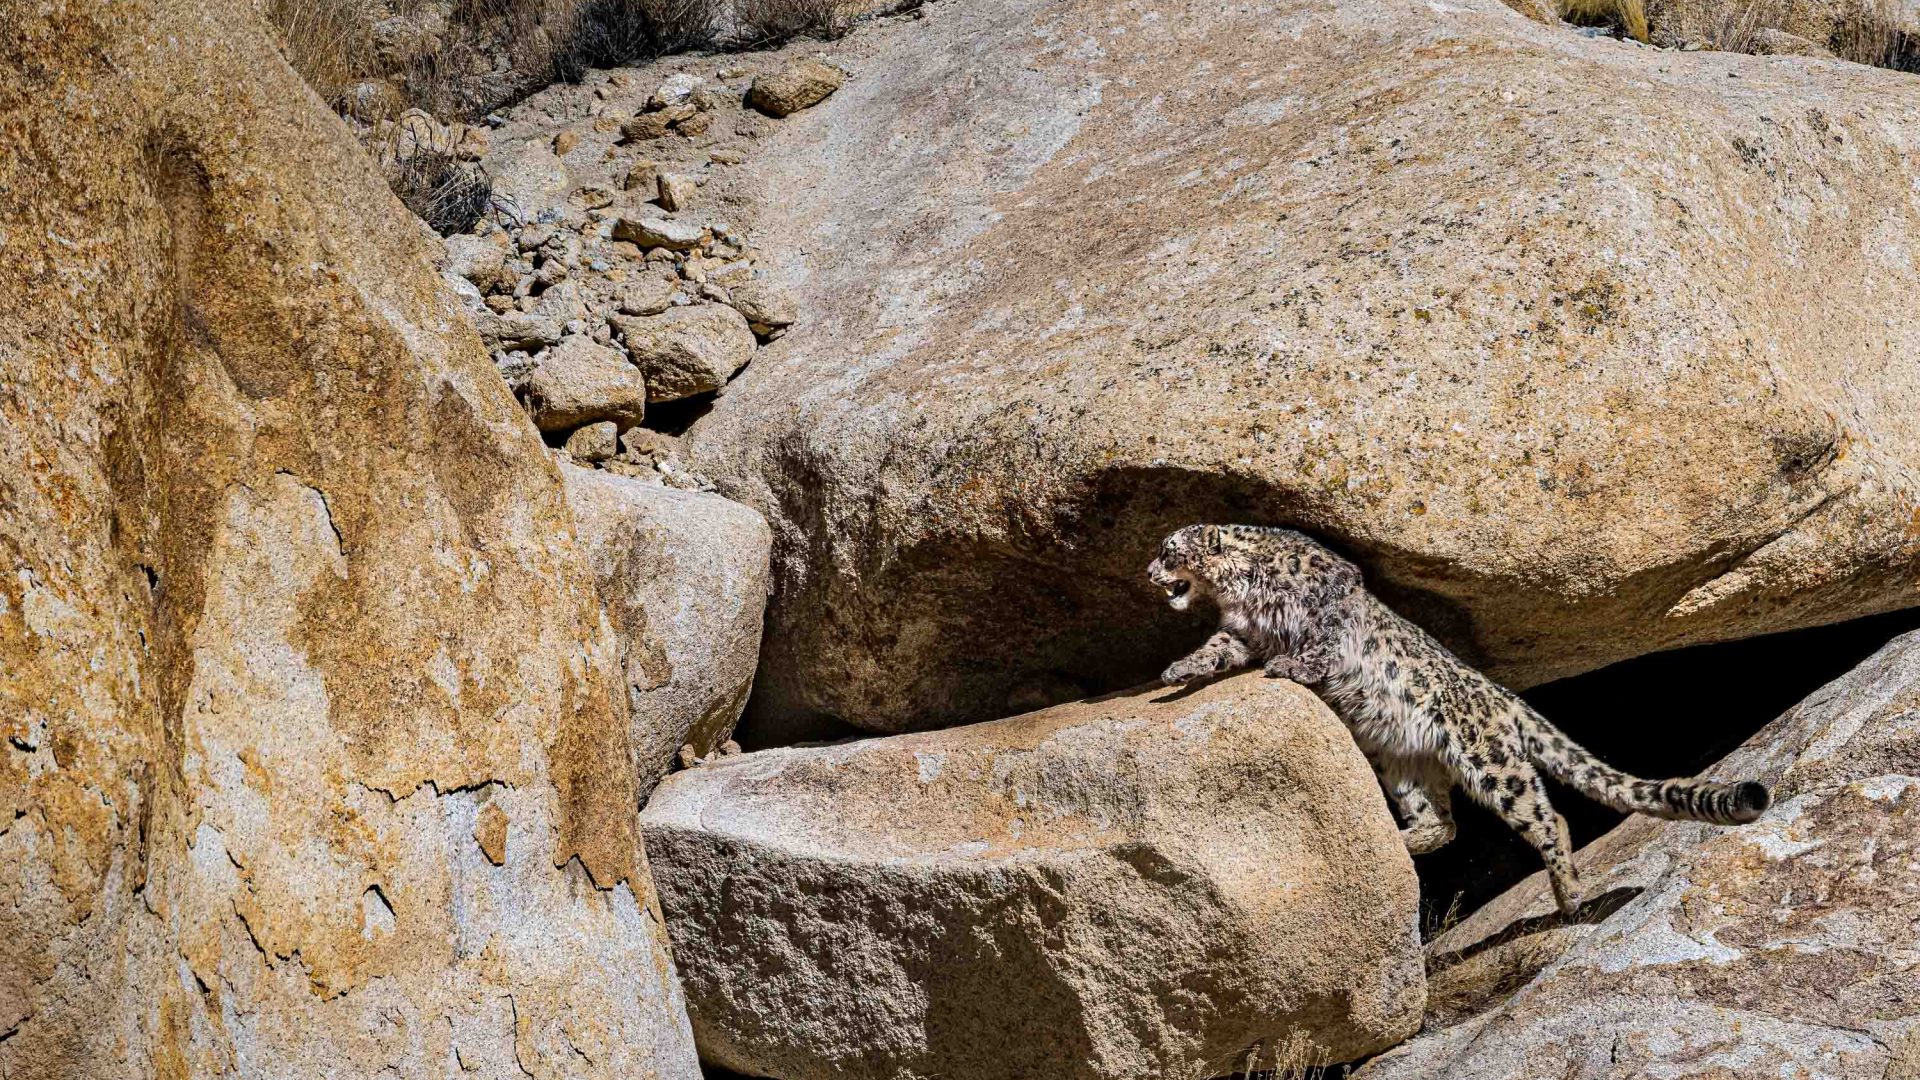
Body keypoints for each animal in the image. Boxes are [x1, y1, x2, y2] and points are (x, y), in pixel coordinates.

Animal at [1147, 523, 1771, 916]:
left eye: (1168, 549)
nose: (1149, 573)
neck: (1245, 594)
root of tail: (1503, 696)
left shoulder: (1326, 611)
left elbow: (1318, 645)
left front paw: (1289, 666)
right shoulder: (1242, 632)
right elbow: (1217, 649)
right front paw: (1175, 670)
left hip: (1490, 761)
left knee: (1546, 818)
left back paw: (1570, 897)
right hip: (1404, 766)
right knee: (1442, 824)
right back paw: (1398, 843)